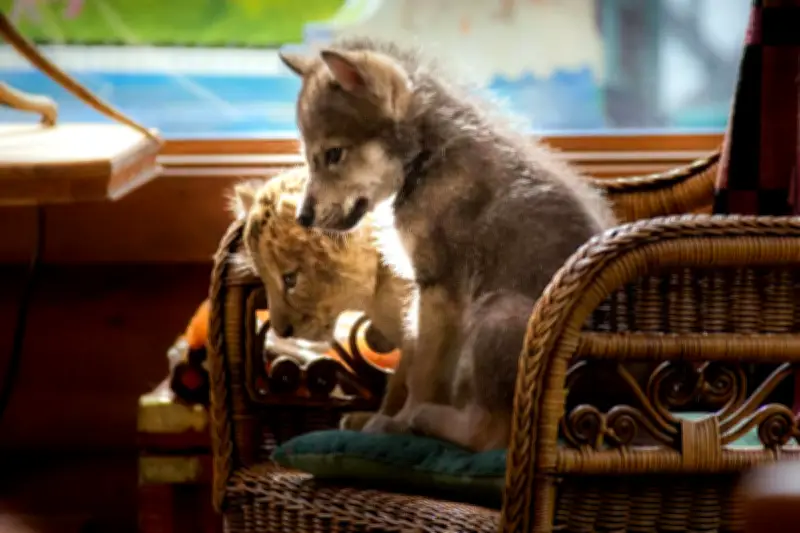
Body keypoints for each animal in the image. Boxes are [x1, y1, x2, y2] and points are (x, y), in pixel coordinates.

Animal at [279, 38, 616, 451]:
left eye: (333, 155)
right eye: (309, 157)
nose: (303, 218)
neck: (425, 159)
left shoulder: (439, 290)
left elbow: (421, 376)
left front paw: (395, 424)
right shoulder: (419, 294)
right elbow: (404, 369)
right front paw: (372, 419)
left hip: (496, 313)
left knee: (489, 434)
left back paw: (426, 420)